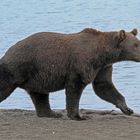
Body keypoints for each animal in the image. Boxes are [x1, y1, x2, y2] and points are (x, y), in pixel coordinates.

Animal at [0, 27, 139, 120]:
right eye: (136, 45)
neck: (102, 53)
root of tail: (7, 52)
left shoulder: (102, 67)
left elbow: (104, 86)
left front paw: (127, 109)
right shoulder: (81, 64)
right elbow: (75, 88)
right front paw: (78, 116)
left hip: (37, 76)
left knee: (40, 95)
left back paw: (51, 113)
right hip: (18, 67)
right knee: (5, 86)